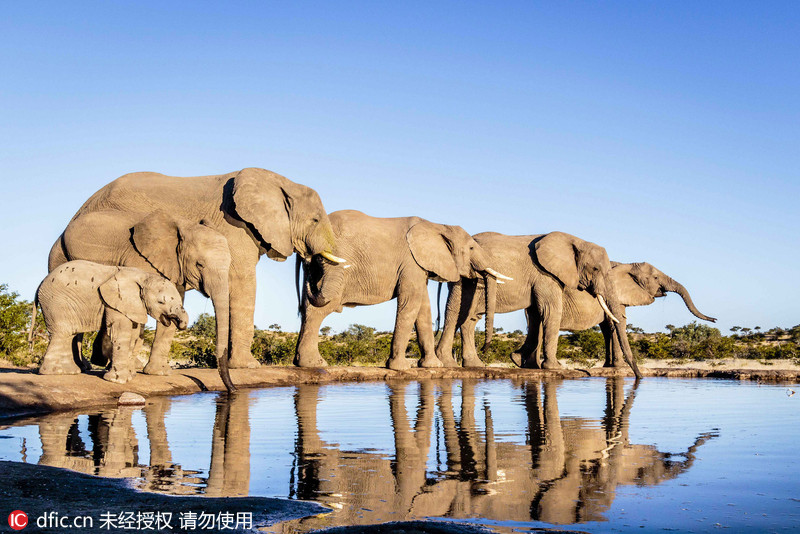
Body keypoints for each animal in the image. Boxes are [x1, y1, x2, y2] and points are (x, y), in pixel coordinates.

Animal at [37, 260, 189, 384]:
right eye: (160, 302)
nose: (180, 322)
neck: (144, 276)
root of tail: (40, 284)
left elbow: (133, 334)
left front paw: (130, 376)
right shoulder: (114, 300)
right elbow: (121, 332)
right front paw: (118, 381)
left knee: (69, 334)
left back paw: (69, 372)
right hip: (57, 303)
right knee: (63, 333)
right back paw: (54, 372)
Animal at [296, 210, 512, 372]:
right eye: (472, 248)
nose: (485, 349)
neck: (437, 226)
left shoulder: (419, 266)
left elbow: (423, 309)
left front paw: (432, 366)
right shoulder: (411, 262)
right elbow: (411, 303)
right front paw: (400, 368)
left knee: (308, 306)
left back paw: (304, 362)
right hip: (334, 262)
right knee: (322, 305)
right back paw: (314, 364)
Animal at [434, 230, 640, 376]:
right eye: (595, 269)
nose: (637, 376)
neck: (575, 240)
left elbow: (535, 315)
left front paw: (521, 361)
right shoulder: (545, 275)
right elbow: (551, 312)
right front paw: (555, 368)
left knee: (468, 319)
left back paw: (475, 364)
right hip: (463, 278)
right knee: (456, 313)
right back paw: (449, 363)